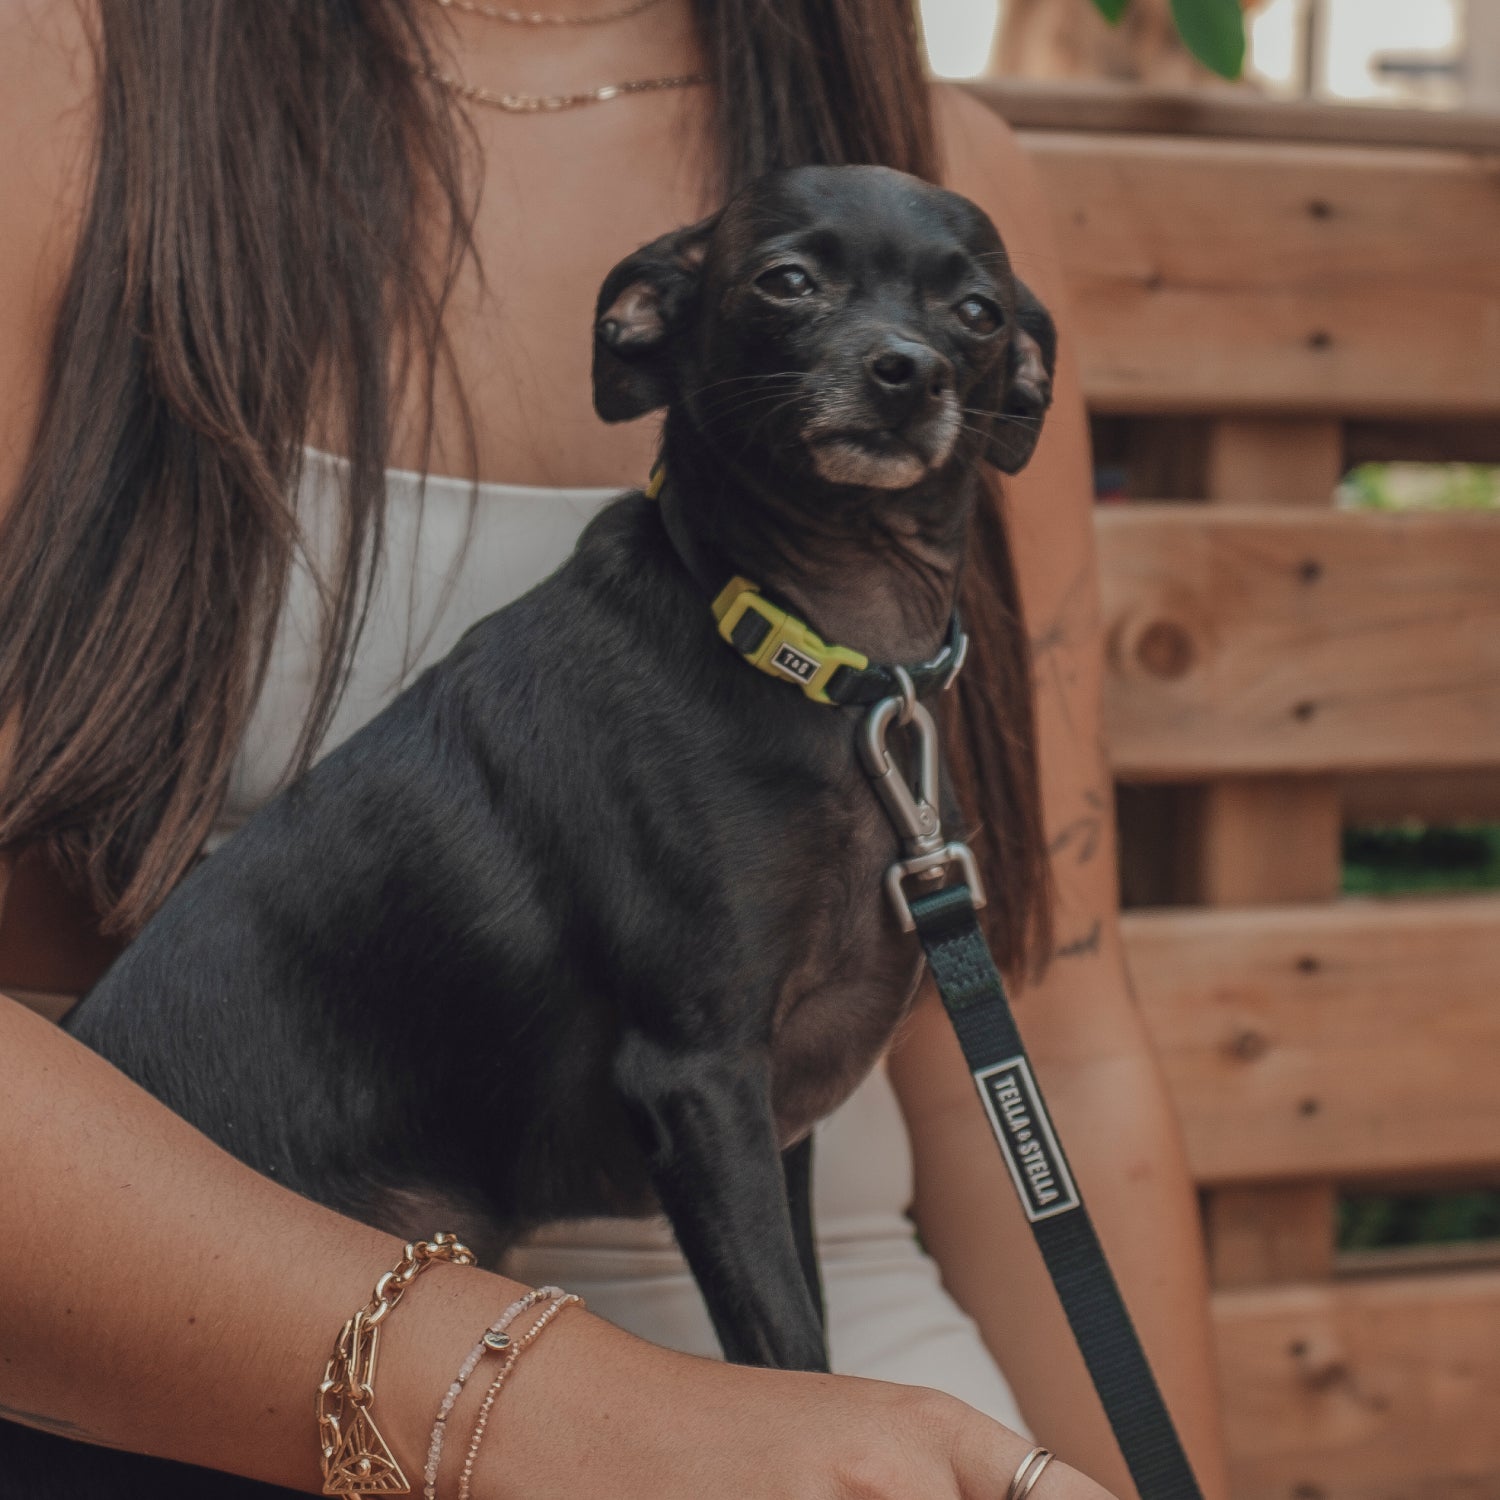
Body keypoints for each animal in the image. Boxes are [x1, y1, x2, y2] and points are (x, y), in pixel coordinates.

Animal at [5, 167, 1050, 1500]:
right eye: (787, 281)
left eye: (977, 313)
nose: (905, 370)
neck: (822, 659)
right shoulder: (698, 1078)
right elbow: (788, 1349)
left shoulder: (775, 1121)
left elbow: (797, 1313)